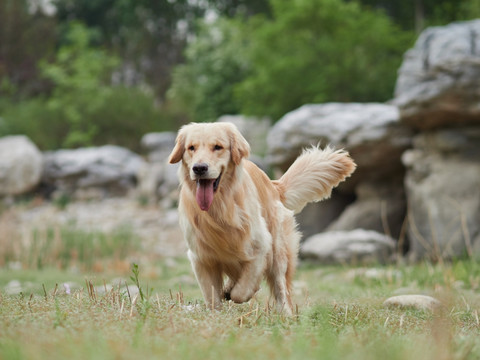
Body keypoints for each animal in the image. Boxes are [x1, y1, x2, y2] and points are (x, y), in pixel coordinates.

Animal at [169, 121, 356, 312]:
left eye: (218, 147)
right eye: (191, 148)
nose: (199, 168)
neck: (220, 207)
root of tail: (273, 185)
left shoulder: (261, 246)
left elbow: (242, 291)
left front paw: (241, 292)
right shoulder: (201, 256)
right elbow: (212, 296)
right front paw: (216, 311)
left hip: (279, 252)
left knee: (281, 289)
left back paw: (285, 313)